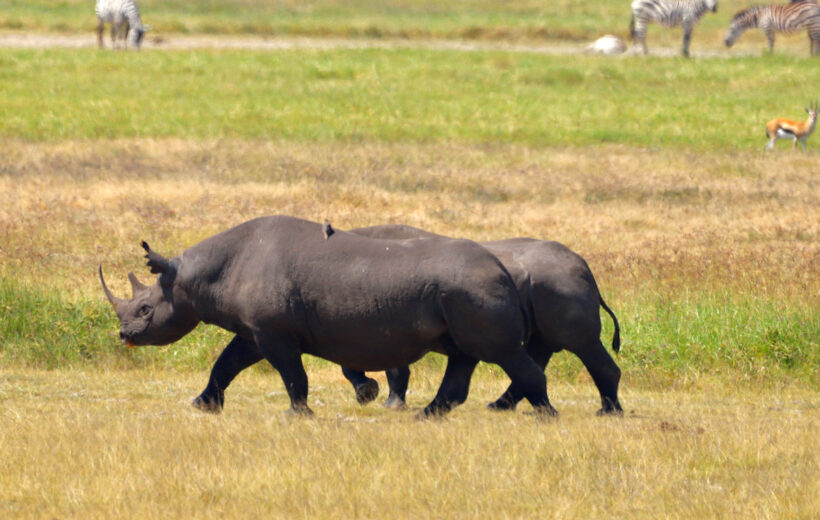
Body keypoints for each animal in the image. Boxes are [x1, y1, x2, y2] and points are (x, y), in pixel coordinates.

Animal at [99, 215, 556, 418]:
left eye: (145, 309)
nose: (123, 333)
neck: (194, 276)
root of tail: (503, 269)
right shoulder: (254, 330)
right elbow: (226, 363)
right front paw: (202, 405)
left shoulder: (274, 332)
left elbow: (291, 373)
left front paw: (297, 415)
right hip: (466, 290)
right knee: (465, 354)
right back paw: (427, 416)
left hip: (474, 289)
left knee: (500, 352)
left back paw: (545, 417)